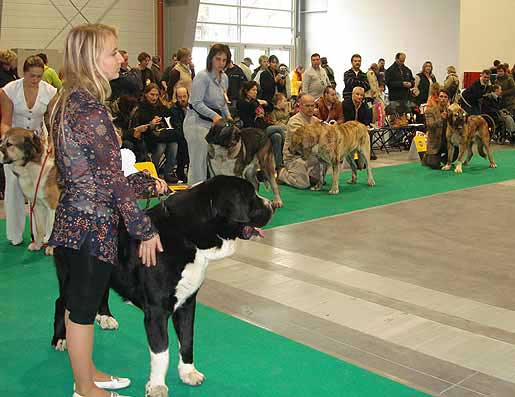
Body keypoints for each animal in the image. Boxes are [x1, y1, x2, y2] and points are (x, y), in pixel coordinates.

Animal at [51, 176, 274, 396]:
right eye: (251, 196)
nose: (272, 205)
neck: (187, 234)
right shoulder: (157, 310)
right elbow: (161, 352)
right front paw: (157, 386)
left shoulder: (187, 303)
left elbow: (187, 340)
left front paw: (188, 373)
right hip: (71, 277)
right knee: (61, 302)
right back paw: (61, 339)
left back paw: (105, 317)